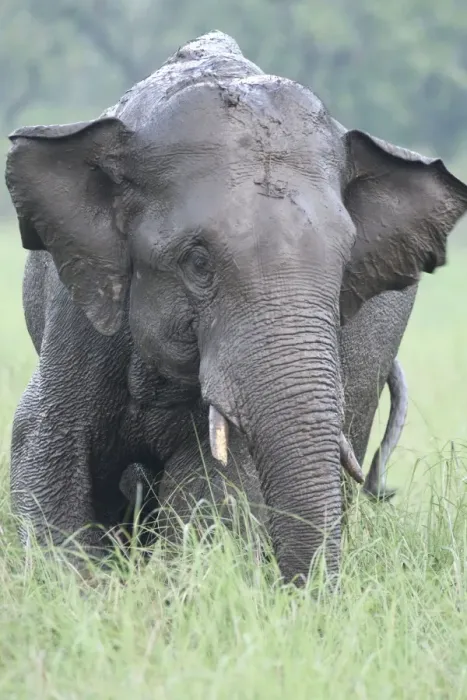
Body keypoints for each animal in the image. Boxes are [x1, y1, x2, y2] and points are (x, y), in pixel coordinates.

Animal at [5, 31, 467, 584]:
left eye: (345, 266)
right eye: (198, 263)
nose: (305, 596)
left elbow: (213, 483)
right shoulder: (77, 315)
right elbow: (47, 448)